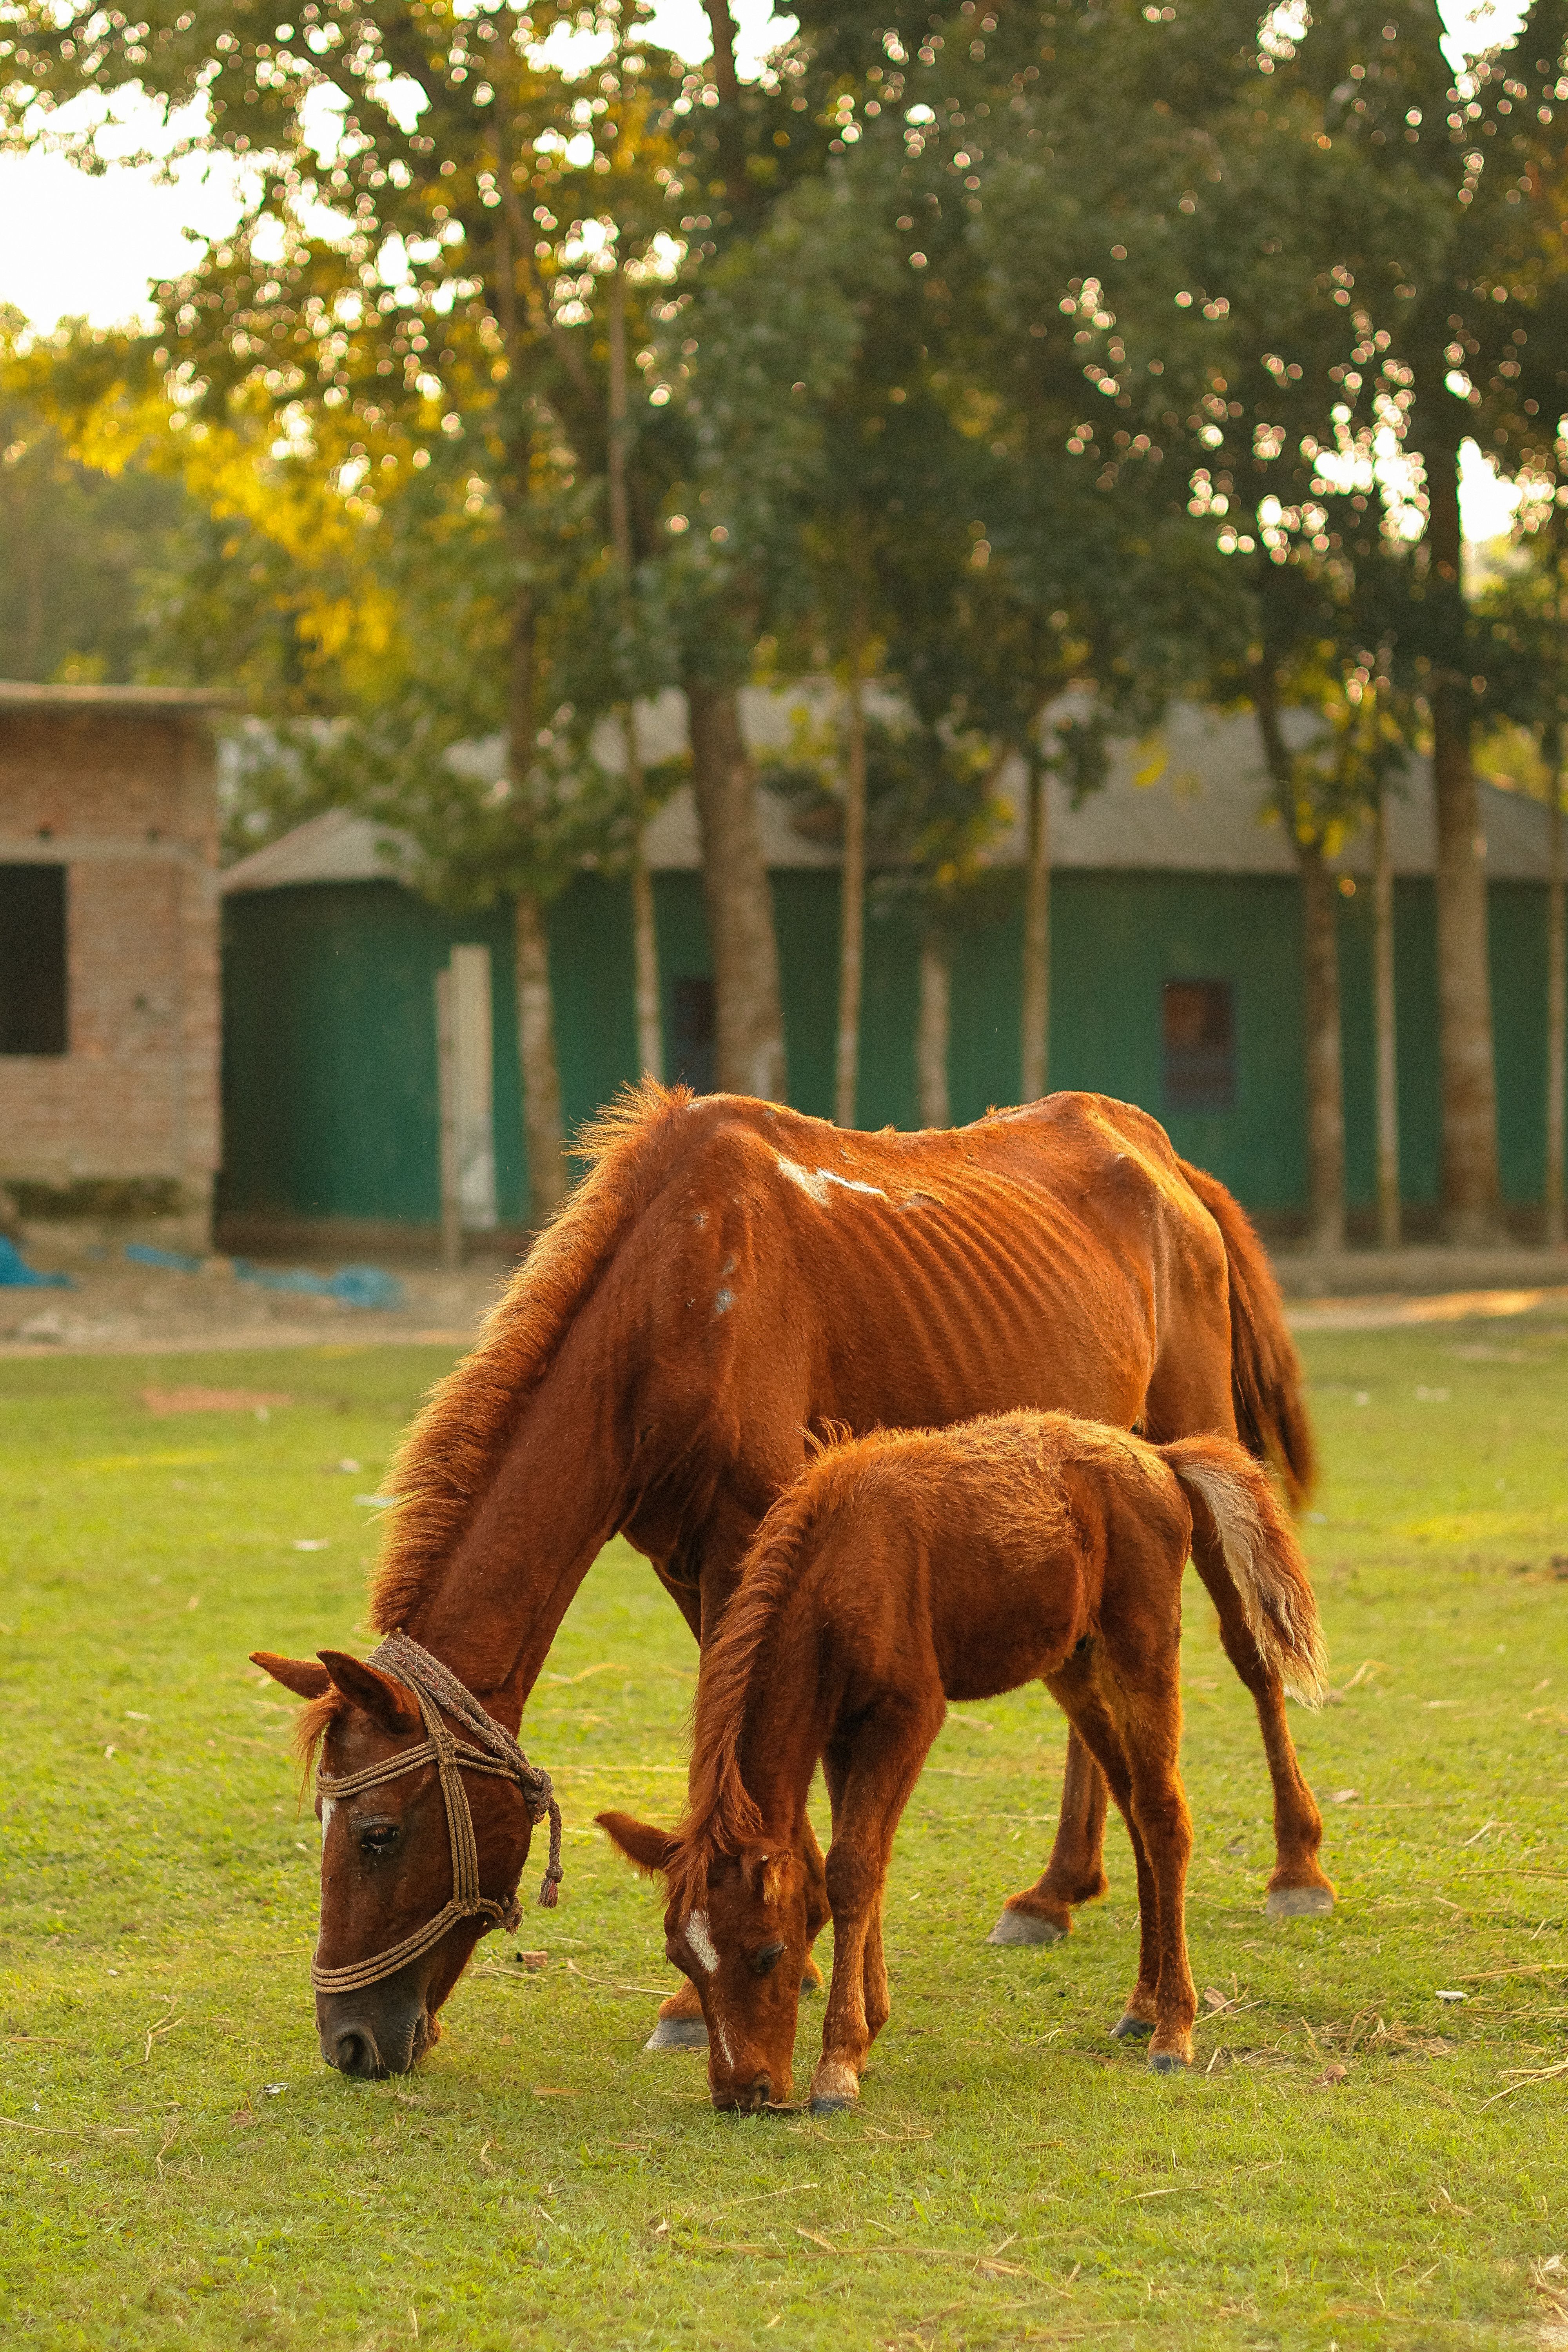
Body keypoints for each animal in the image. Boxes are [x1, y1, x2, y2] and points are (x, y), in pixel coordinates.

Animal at [600, 1411, 1328, 2108]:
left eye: (767, 1953)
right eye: (680, 1957)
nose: (737, 2093)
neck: (837, 1570)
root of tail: (1160, 1459)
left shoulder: (910, 1715)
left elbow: (852, 1869)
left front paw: (837, 2067)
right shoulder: (839, 1732)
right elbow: (860, 1865)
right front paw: (870, 2027)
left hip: (1141, 1646)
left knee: (1163, 1814)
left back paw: (1174, 2028)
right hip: (1075, 1660)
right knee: (1130, 1802)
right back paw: (1142, 2006)